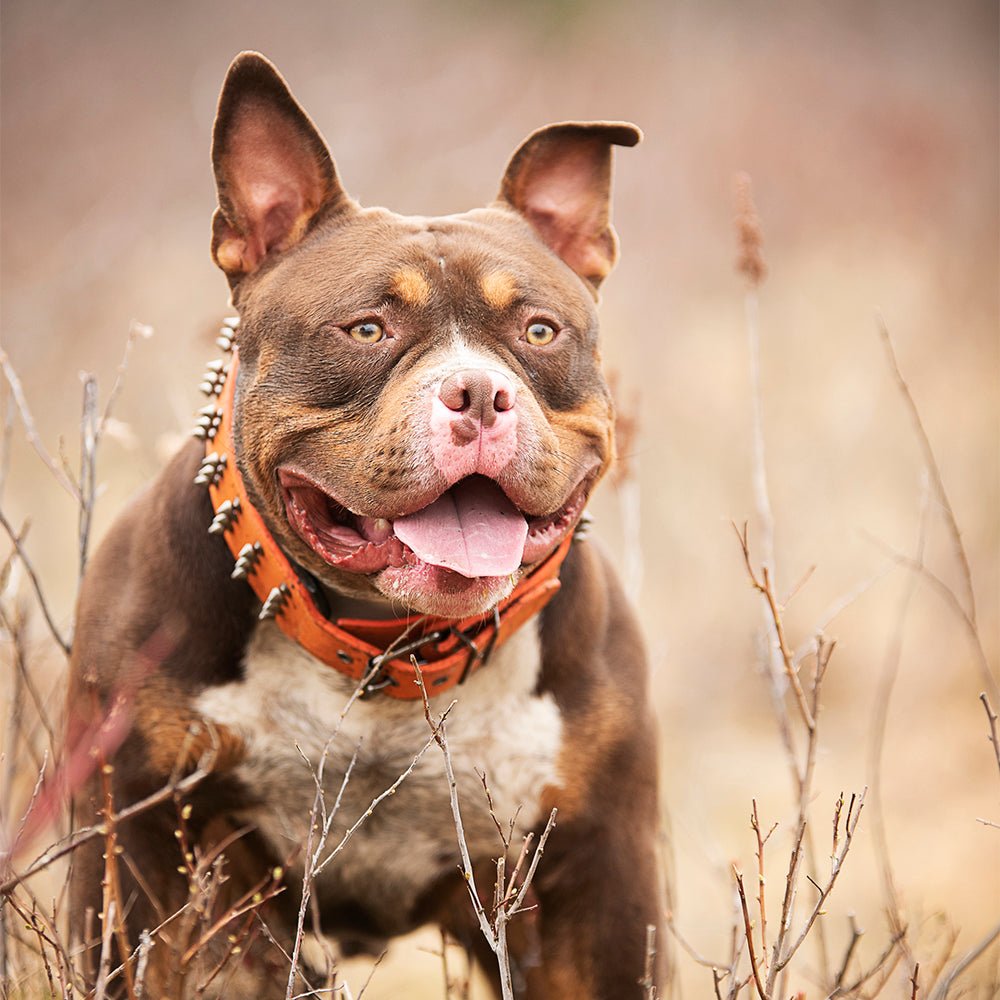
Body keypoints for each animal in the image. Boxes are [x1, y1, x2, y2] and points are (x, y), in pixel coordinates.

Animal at [70, 52, 664, 992]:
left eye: (540, 331)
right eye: (366, 329)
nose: (479, 392)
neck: (390, 646)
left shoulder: (600, 884)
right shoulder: (137, 852)